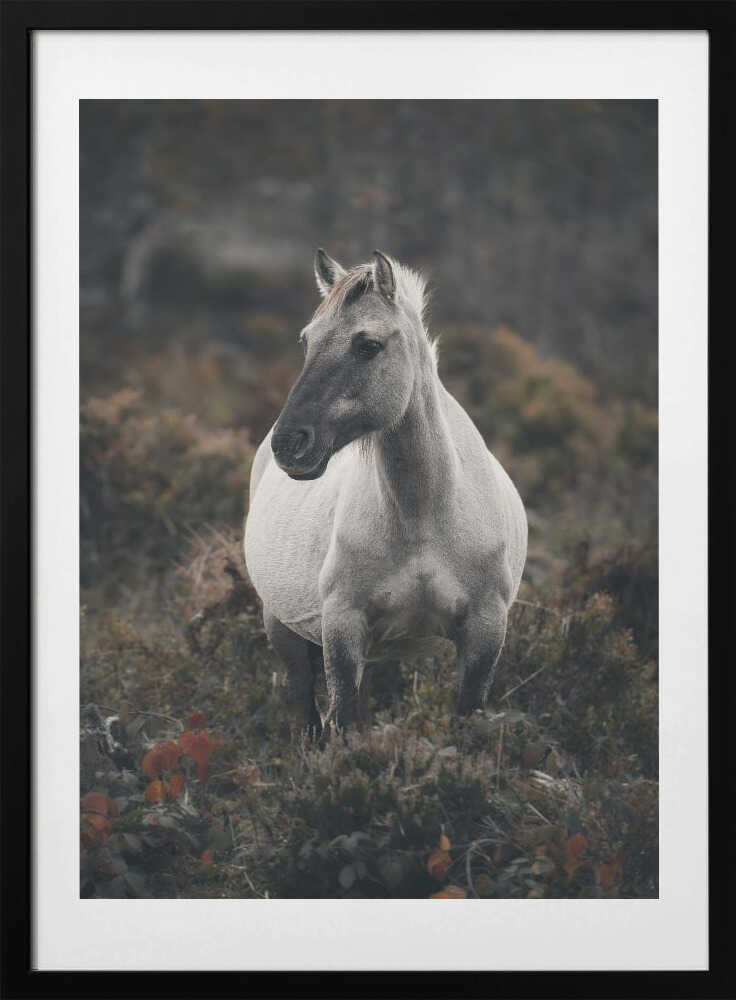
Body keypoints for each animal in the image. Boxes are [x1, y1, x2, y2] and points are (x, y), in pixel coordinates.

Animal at [244, 250, 527, 736]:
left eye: (367, 345)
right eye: (306, 341)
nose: (289, 444)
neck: (425, 516)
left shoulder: (485, 632)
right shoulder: (343, 629)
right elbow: (340, 722)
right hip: (283, 629)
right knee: (305, 709)